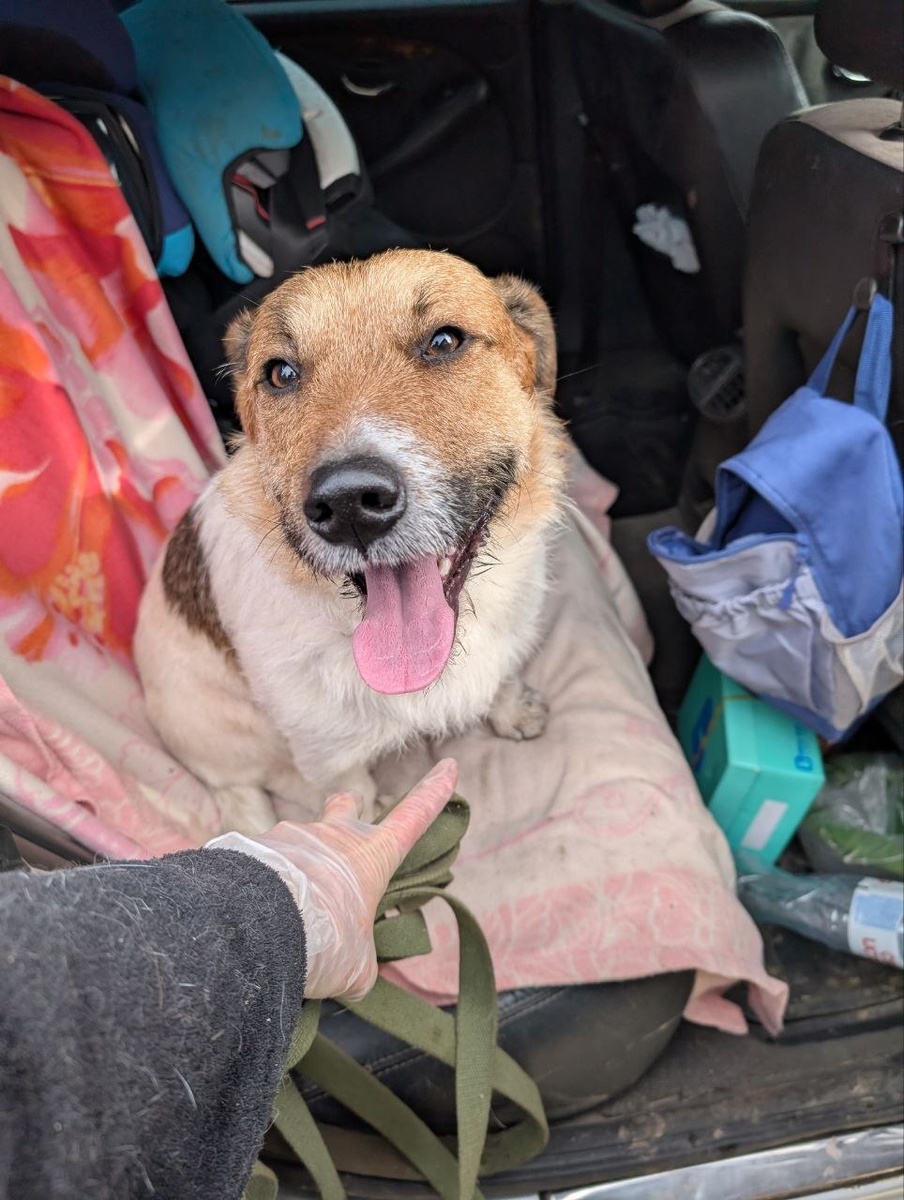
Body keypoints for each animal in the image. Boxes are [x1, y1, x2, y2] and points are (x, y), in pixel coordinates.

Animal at [134, 249, 568, 834]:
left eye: (444, 341)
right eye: (280, 373)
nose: (347, 505)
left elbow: (500, 675)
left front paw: (512, 708)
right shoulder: (328, 756)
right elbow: (346, 794)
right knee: (246, 790)